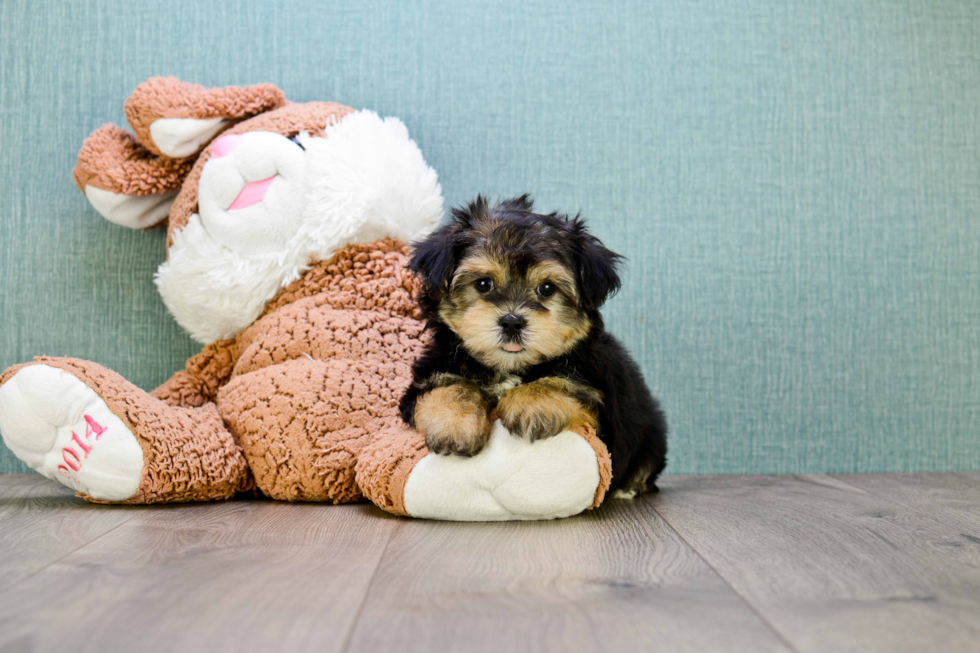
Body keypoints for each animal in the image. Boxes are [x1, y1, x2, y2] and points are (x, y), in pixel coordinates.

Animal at [398, 194, 668, 494]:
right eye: (483, 284)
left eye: (547, 288)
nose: (512, 322)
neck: (510, 366)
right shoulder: (431, 372)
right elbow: (450, 386)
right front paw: (455, 425)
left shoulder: (598, 405)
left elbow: (563, 381)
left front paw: (530, 404)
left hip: (651, 432)